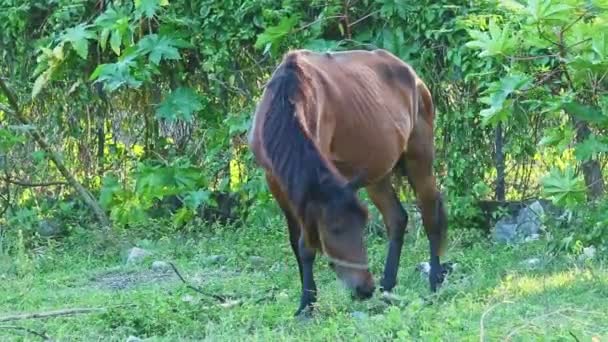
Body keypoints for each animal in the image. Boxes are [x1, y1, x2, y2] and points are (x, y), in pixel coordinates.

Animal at [246, 48, 446, 316]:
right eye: (335, 229)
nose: (364, 289)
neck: (287, 100)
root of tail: (415, 78)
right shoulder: (276, 182)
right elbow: (296, 243)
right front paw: (307, 301)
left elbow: (305, 244)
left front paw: (307, 304)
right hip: (377, 175)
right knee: (397, 218)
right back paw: (387, 287)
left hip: (419, 160)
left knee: (430, 213)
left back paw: (434, 281)